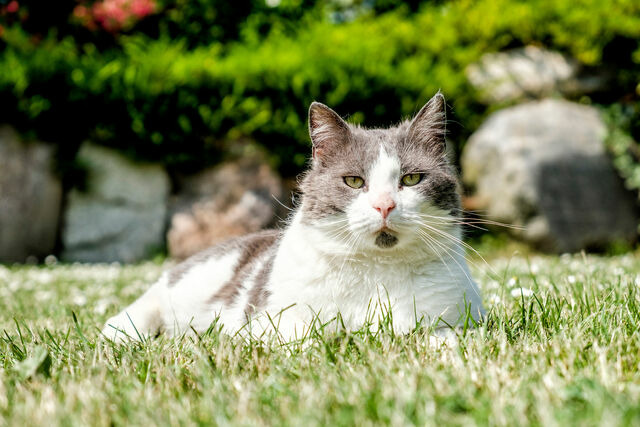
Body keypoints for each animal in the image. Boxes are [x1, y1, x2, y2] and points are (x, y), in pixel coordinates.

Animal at [102, 94, 484, 344]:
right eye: (354, 181)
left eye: (411, 179)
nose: (384, 206)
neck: (377, 271)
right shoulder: (270, 321)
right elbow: (305, 339)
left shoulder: (458, 320)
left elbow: (441, 338)